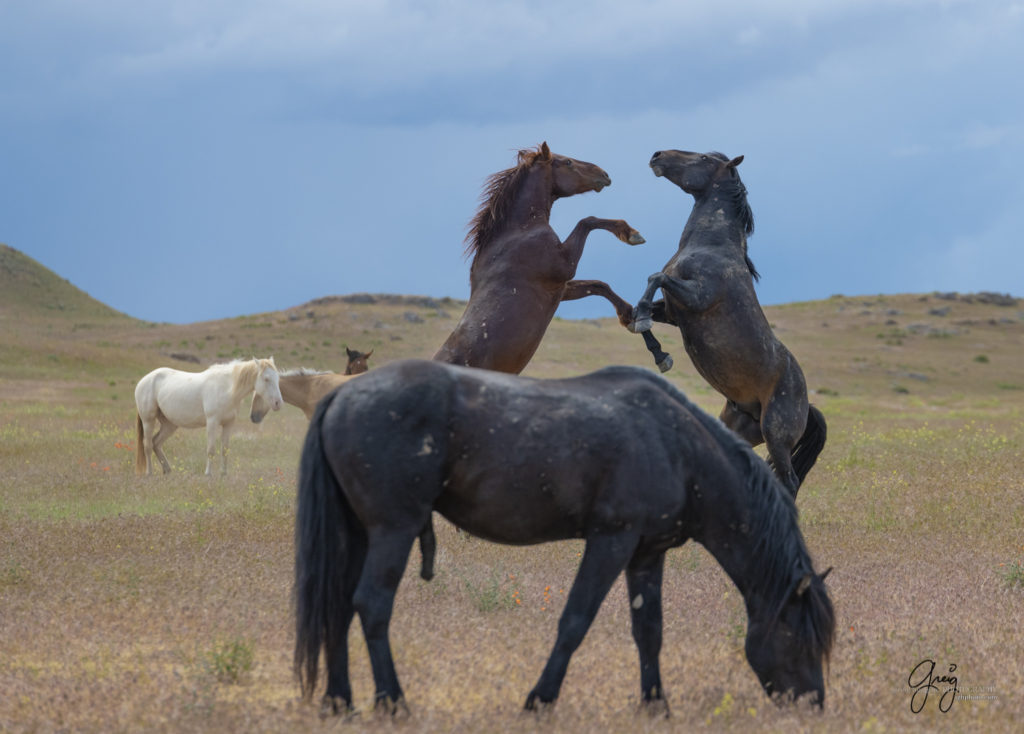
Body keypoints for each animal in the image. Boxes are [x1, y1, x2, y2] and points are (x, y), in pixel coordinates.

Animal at [135, 354, 284, 475]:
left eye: (277, 378)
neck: (226, 388)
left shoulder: (229, 424)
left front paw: (223, 474)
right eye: (266, 379)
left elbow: (225, 449)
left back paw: (167, 470)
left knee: (156, 443)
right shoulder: (212, 422)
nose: (278, 403)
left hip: (170, 425)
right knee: (147, 445)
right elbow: (211, 449)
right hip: (148, 420)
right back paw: (149, 473)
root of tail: (143, 381)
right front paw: (208, 474)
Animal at [292, 360, 835, 716]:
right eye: (802, 636)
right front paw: (540, 699)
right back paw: (393, 702)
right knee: (372, 605)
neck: (677, 446)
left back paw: (340, 702)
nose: (814, 704)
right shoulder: (610, 542)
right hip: (394, 531)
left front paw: (655, 704)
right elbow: (575, 621)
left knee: (338, 605)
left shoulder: (647, 554)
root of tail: (341, 396)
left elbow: (649, 631)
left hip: (357, 534)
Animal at [626, 149, 827, 495]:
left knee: (789, 480)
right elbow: (645, 304)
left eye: (704, 158)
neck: (711, 246)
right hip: (740, 426)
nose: (657, 155)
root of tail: (806, 404)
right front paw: (657, 350)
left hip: (776, 435)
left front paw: (645, 328)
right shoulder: (675, 313)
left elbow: (655, 278)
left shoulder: (696, 298)